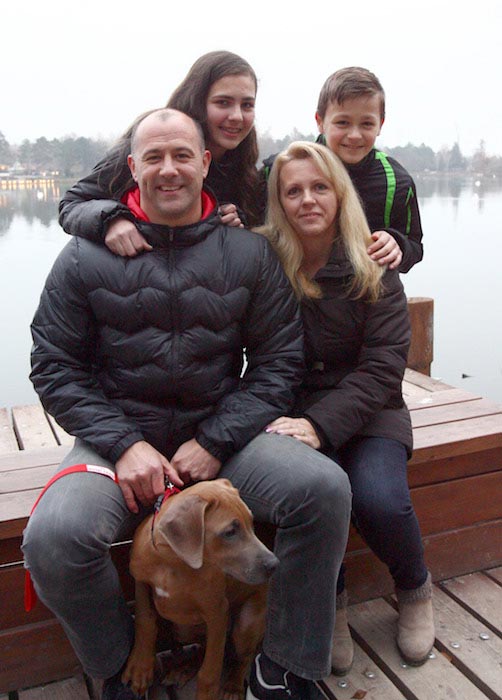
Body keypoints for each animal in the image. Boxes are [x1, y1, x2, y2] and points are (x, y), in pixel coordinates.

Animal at [121, 478, 278, 700]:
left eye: (251, 522)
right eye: (229, 532)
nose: (274, 564)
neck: (171, 562)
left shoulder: (217, 613)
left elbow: (210, 671)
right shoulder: (141, 581)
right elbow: (145, 621)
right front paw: (140, 669)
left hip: (246, 625)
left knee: (243, 658)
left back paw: (233, 686)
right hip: (184, 627)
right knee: (202, 648)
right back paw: (182, 670)